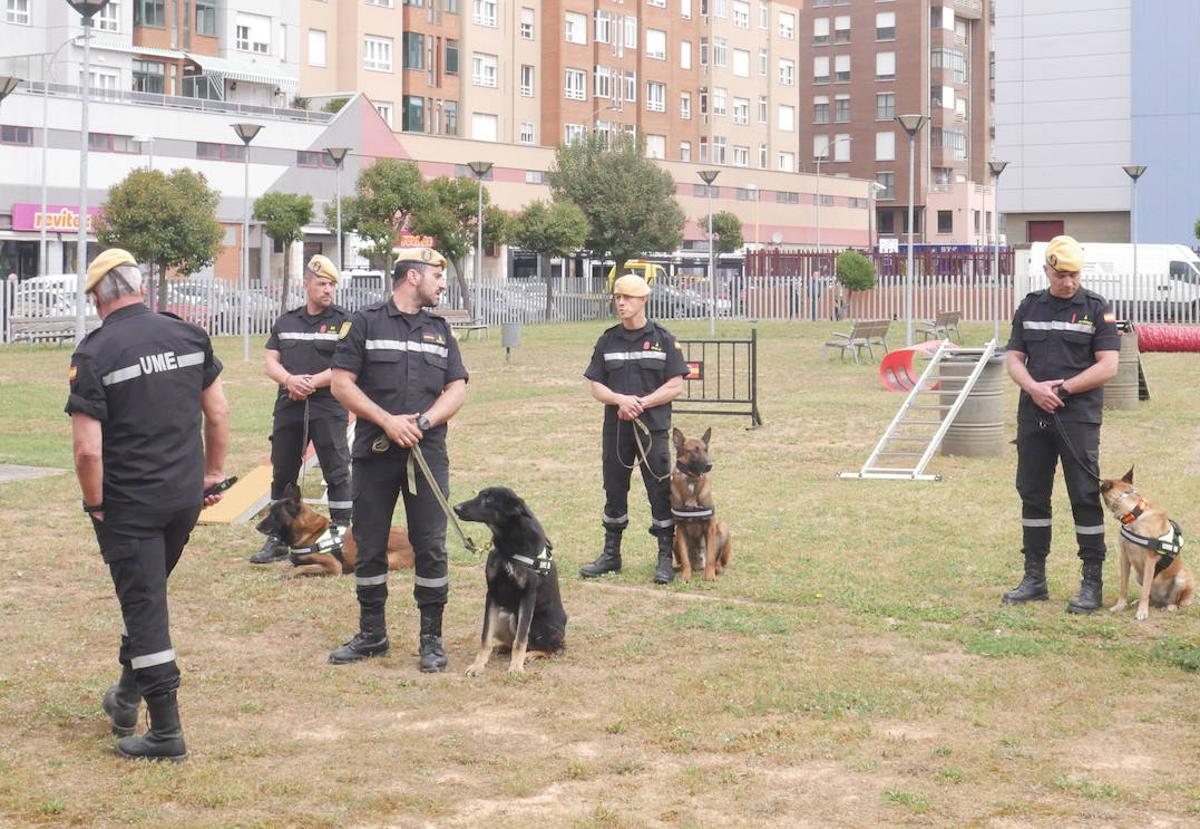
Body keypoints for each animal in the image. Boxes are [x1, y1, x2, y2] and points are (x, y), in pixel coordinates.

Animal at [255, 482, 415, 580]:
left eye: (275, 515)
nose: (257, 527)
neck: (310, 533)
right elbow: (294, 565)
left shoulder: (332, 566)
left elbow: (302, 568)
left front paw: (289, 573)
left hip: (389, 561)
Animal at [453, 487, 571, 676]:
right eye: (480, 494)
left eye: (488, 499)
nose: (456, 508)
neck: (509, 542)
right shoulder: (492, 593)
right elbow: (485, 637)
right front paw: (478, 665)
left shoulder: (528, 596)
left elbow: (520, 639)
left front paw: (516, 667)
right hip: (503, 614)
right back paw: (501, 647)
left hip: (534, 624)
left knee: (556, 648)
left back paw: (533, 654)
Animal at [667, 427, 729, 583]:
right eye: (694, 451)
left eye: (706, 449)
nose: (709, 465)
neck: (691, 480)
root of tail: (698, 565)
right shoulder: (680, 529)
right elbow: (685, 560)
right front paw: (686, 576)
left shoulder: (710, 526)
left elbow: (711, 556)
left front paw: (710, 575)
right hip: (674, 537)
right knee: (684, 562)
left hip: (723, 527)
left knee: (718, 561)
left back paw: (717, 569)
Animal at [1104, 470, 1190, 619]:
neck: (1135, 514)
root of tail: (1162, 600)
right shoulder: (1124, 558)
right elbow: (1123, 586)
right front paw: (1120, 605)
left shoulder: (1150, 561)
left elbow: (1144, 590)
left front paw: (1142, 612)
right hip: (1139, 575)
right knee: (1151, 595)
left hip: (1182, 576)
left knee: (1175, 600)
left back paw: (1171, 606)